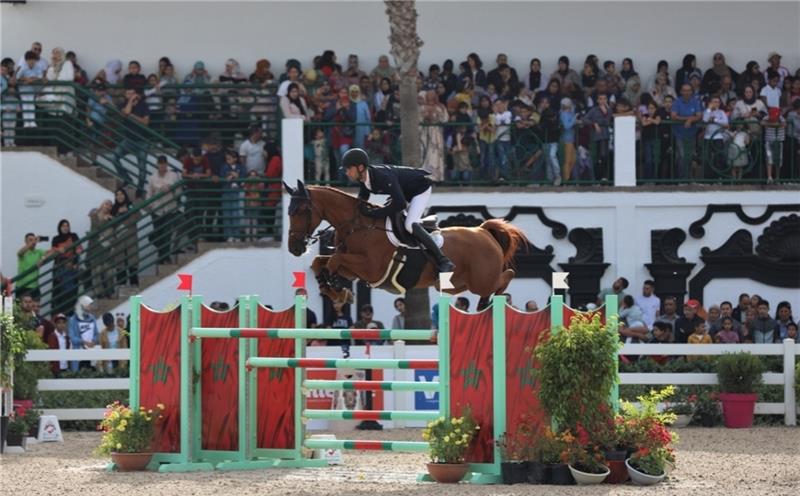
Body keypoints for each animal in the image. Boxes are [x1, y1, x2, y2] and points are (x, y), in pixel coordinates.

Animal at [284, 181, 528, 304]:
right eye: (288, 211)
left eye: (301, 210)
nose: (294, 248)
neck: (358, 226)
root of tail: (483, 231)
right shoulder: (354, 269)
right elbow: (319, 261)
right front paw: (333, 291)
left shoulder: (371, 268)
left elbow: (334, 260)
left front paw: (338, 291)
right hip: (454, 284)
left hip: (481, 280)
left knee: (505, 277)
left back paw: (491, 301)